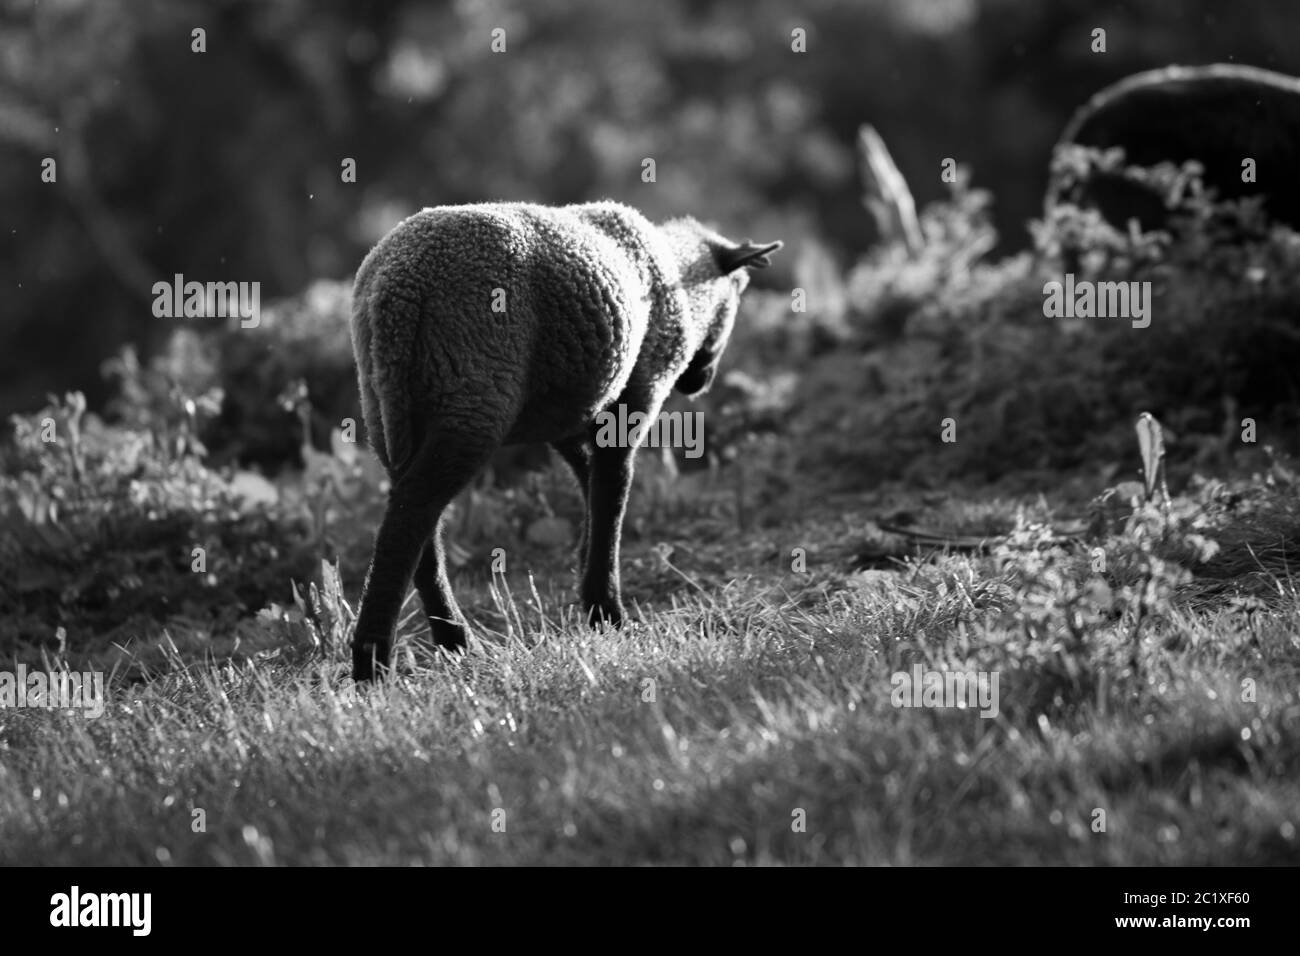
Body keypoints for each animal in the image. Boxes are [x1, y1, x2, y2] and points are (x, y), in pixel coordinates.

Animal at [345, 201, 780, 681]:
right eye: (738, 291)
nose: (701, 381)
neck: (676, 276)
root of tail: (395, 288)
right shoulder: (634, 396)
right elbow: (612, 493)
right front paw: (606, 612)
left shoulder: (570, 420)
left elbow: (590, 483)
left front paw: (587, 578)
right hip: (469, 397)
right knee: (409, 518)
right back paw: (374, 662)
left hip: (388, 408)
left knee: (416, 518)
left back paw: (455, 643)